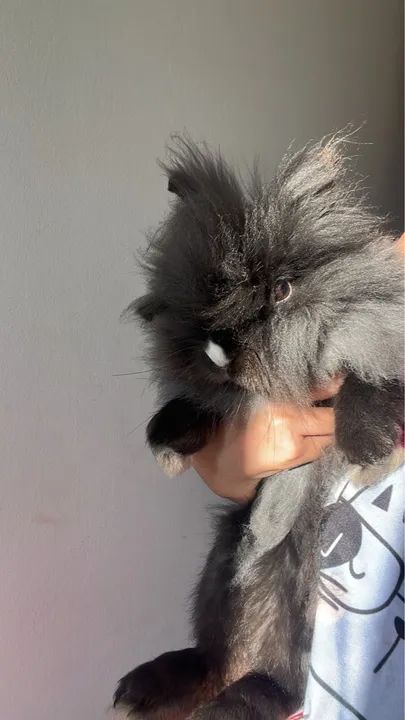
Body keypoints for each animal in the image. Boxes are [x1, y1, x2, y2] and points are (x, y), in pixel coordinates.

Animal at [113, 133, 404, 720]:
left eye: (282, 291)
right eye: (199, 296)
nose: (217, 352)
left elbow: (368, 377)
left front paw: (367, 443)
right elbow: (202, 403)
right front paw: (166, 443)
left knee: (283, 682)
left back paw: (235, 702)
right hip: (224, 562)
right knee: (216, 658)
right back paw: (147, 689)